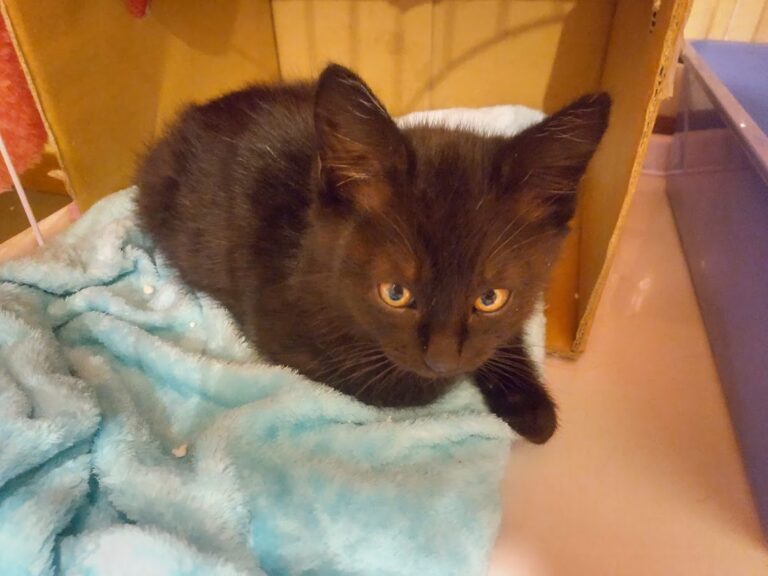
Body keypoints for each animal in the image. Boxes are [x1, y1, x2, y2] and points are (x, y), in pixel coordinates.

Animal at [136, 63, 610, 444]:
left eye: (490, 298)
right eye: (395, 293)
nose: (441, 360)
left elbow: (499, 337)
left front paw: (528, 403)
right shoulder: (286, 333)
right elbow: (394, 385)